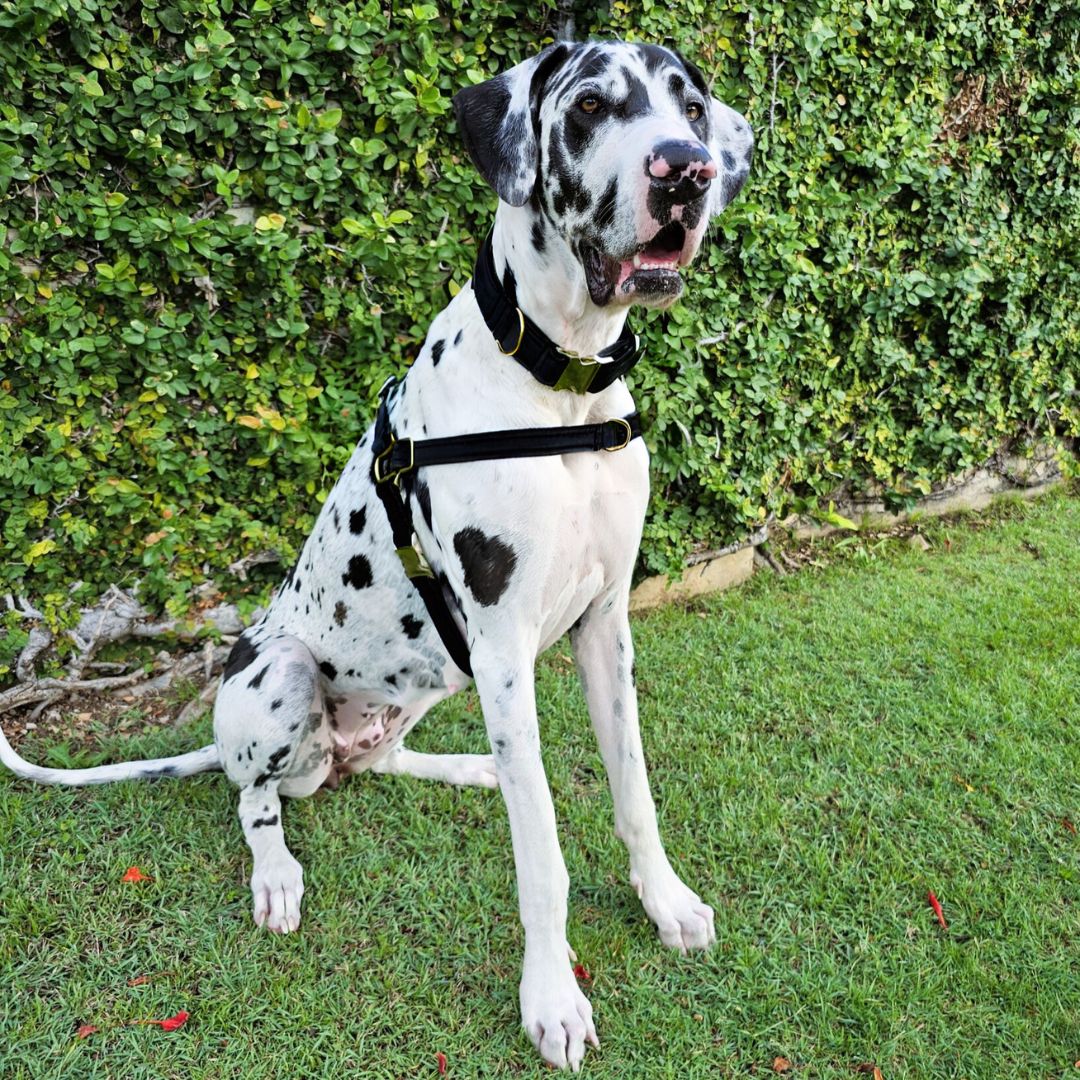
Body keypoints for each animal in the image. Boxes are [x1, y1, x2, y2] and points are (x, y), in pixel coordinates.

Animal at [0, 39, 751, 1071]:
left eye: (691, 106)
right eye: (592, 106)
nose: (687, 170)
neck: (558, 385)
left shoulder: (606, 626)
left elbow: (633, 790)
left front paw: (665, 903)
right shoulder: (504, 649)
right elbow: (543, 856)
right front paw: (552, 997)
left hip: (427, 685)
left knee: (387, 761)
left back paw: (471, 770)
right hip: (280, 673)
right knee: (253, 796)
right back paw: (277, 870)